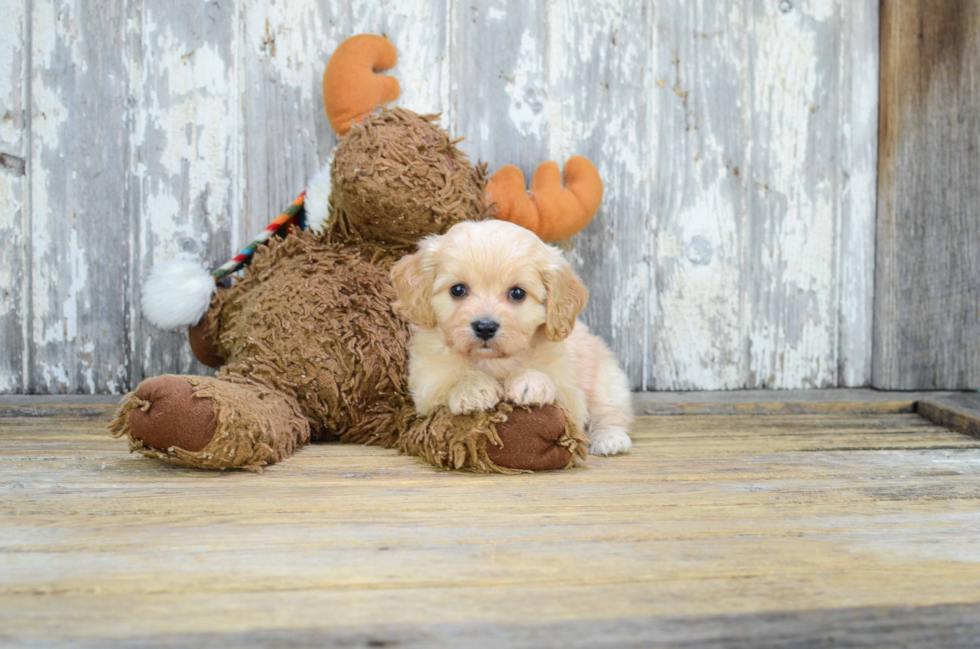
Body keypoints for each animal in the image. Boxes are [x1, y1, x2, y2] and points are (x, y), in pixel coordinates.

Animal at [392, 218, 636, 456]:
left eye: (517, 293)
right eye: (458, 289)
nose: (485, 327)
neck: (494, 361)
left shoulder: (571, 394)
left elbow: (559, 396)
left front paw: (530, 381)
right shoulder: (426, 389)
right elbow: (450, 381)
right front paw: (473, 387)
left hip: (606, 380)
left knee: (609, 411)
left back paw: (610, 439)